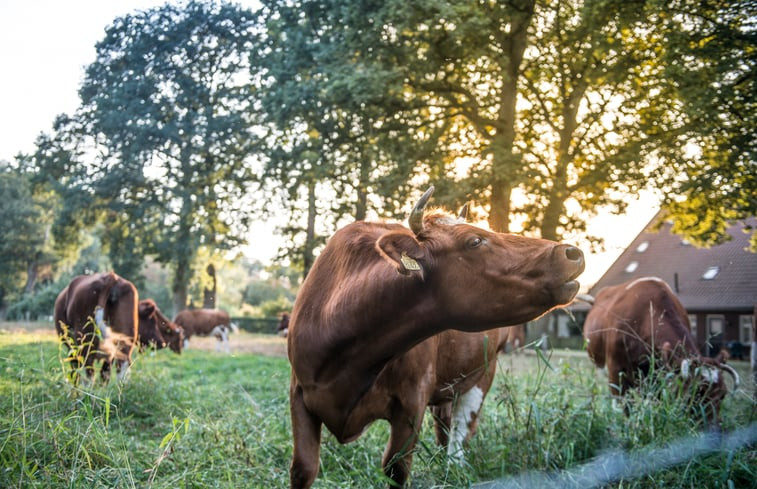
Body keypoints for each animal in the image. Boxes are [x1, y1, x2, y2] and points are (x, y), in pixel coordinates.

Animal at [286, 185, 580, 486]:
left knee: (459, 435)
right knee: (444, 426)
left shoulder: (412, 400)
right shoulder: (299, 392)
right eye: (475, 241)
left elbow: (396, 468)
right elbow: (303, 468)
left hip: (482, 375)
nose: (571, 251)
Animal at [580, 278, 740, 424]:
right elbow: (625, 406)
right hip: (598, 364)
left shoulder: (658, 372)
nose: (714, 430)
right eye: (695, 393)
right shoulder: (616, 369)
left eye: (723, 394)